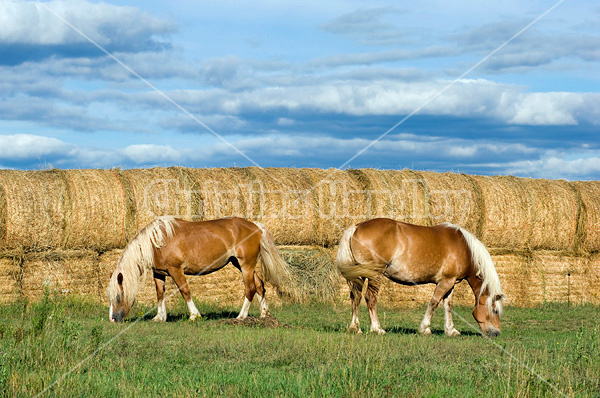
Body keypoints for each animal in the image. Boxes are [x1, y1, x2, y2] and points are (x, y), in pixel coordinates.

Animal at [108, 216, 296, 322]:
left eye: (118, 296)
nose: (113, 319)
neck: (156, 241)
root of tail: (256, 227)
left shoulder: (176, 270)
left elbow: (185, 291)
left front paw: (194, 315)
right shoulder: (159, 273)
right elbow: (160, 294)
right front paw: (159, 317)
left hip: (246, 265)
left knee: (249, 288)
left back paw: (241, 316)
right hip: (240, 265)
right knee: (259, 285)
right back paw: (264, 314)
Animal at [336, 218, 504, 336]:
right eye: (495, 311)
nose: (496, 333)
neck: (464, 248)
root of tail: (356, 227)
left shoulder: (451, 282)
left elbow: (448, 306)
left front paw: (451, 330)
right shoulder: (445, 282)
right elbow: (434, 303)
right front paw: (425, 329)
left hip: (360, 275)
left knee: (356, 297)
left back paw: (355, 328)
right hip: (374, 275)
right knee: (370, 298)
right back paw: (377, 329)